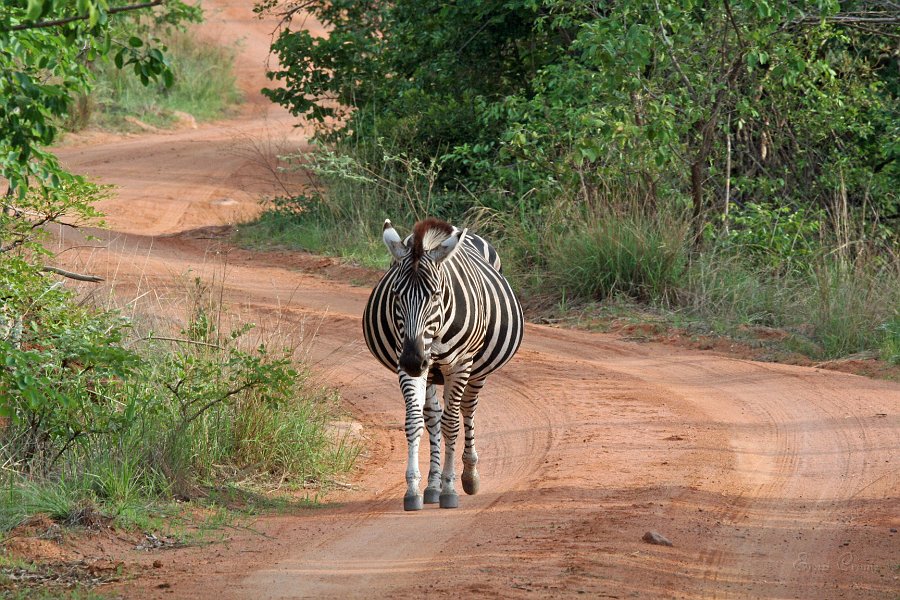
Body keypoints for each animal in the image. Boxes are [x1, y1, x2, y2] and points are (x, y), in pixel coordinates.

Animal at [362, 218, 524, 508]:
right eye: (396, 294)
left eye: (436, 294)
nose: (414, 360)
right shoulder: (408, 363)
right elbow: (415, 421)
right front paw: (414, 489)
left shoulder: (459, 365)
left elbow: (452, 424)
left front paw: (450, 488)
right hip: (431, 371)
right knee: (433, 416)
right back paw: (432, 485)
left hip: (475, 369)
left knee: (467, 410)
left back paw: (469, 475)